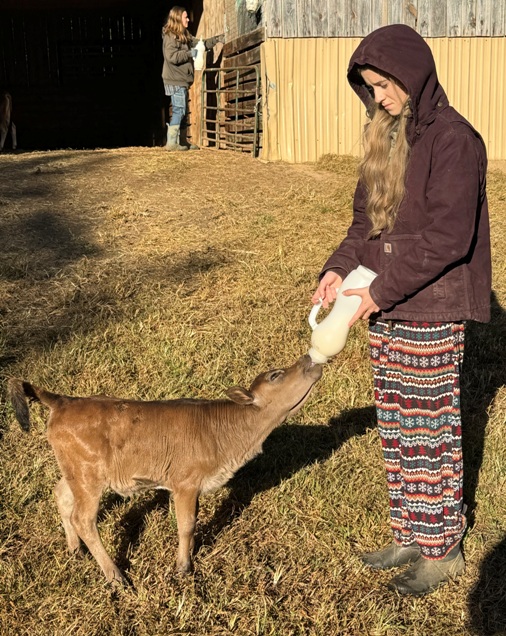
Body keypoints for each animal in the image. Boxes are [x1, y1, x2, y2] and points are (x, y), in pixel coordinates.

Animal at [7, 356, 322, 584]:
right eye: (275, 375)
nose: (310, 359)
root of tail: (63, 400)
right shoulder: (186, 482)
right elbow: (187, 525)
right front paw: (183, 567)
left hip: (75, 470)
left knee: (61, 494)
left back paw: (75, 551)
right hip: (89, 474)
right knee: (83, 519)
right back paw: (115, 576)